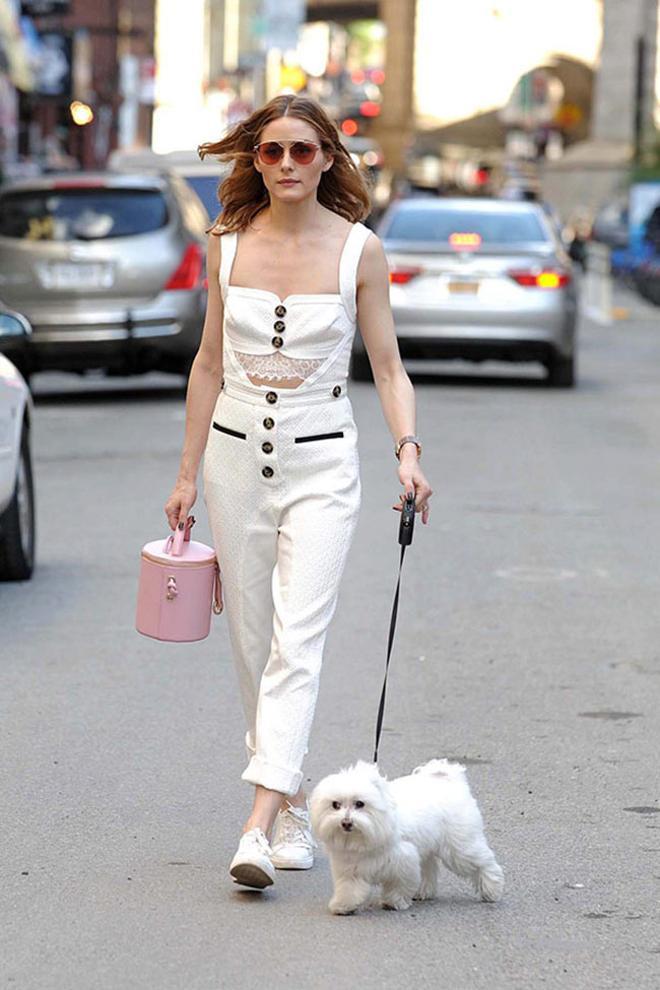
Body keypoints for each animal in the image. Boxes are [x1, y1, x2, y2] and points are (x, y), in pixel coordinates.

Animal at [310, 764, 506, 920]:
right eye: (335, 805)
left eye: (360, 804)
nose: (346, 822)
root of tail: (451, 780)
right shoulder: (350, 868)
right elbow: (349, 889)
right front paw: (344, 905)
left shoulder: (403, 860)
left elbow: (400, 883)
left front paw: (394, 901)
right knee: (429, 869)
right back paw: (423, 892)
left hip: (460, 848)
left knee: (485, 864)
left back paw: (492, 890)